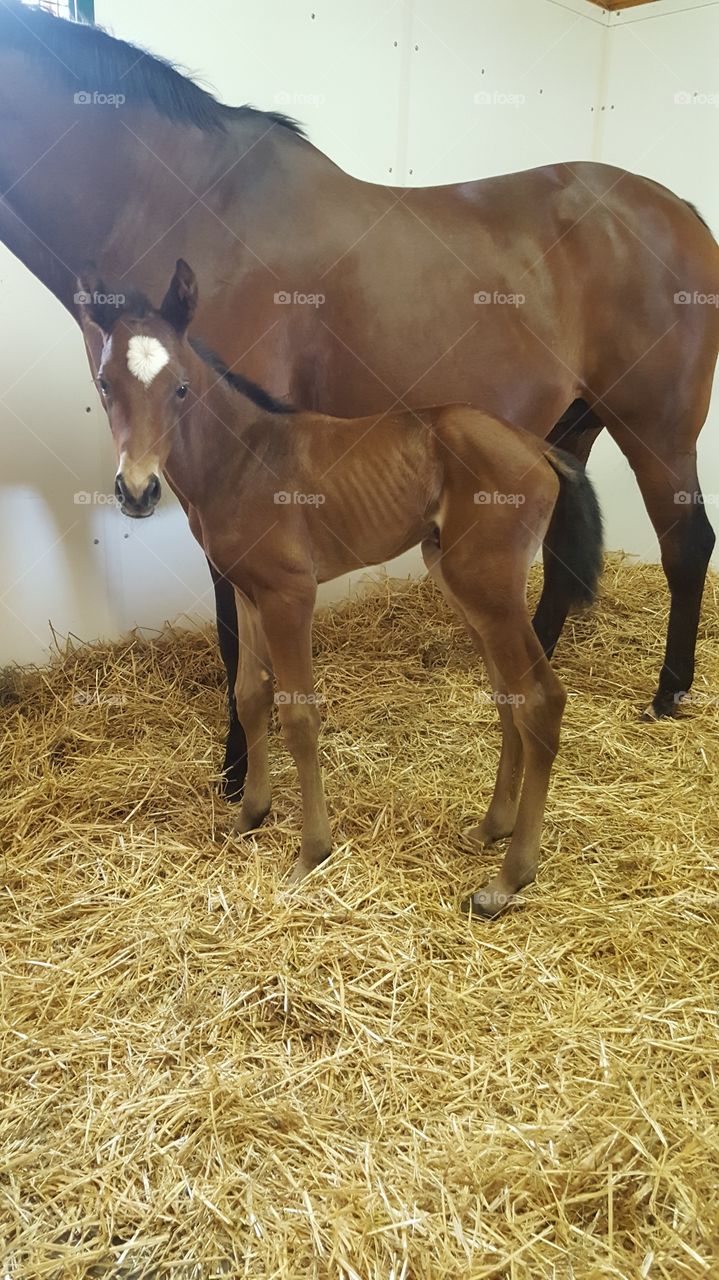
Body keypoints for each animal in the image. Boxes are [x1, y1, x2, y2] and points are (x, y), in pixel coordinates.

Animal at [78, 262, 601, 921]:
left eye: (180, 389)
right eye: (104, 383)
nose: (138, 491)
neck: (245, 460)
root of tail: (539, 447)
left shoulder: (289, 594)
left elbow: (298, 714)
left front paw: (311, 852)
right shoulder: (248, 590)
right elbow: (250, 695)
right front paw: (249, 815)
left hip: (489, 587)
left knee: (540, 700)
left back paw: (509, 878)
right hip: (462, 584)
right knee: (509, 695)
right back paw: (492, 826)